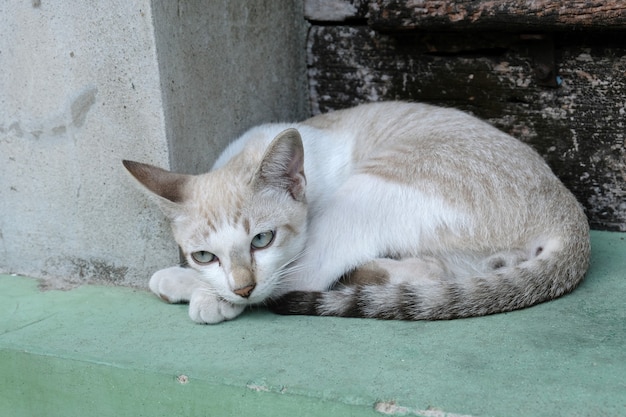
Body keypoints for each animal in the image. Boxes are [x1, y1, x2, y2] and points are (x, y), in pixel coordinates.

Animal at [123, 101, 588, 322]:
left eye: (262, 240)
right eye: (204, 255)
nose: (241, 289)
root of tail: (569, 211)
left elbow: (283, 276)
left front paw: (202, 293)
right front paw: (193, 280)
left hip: (369, 189)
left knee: (308, 279)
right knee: (438, 272)